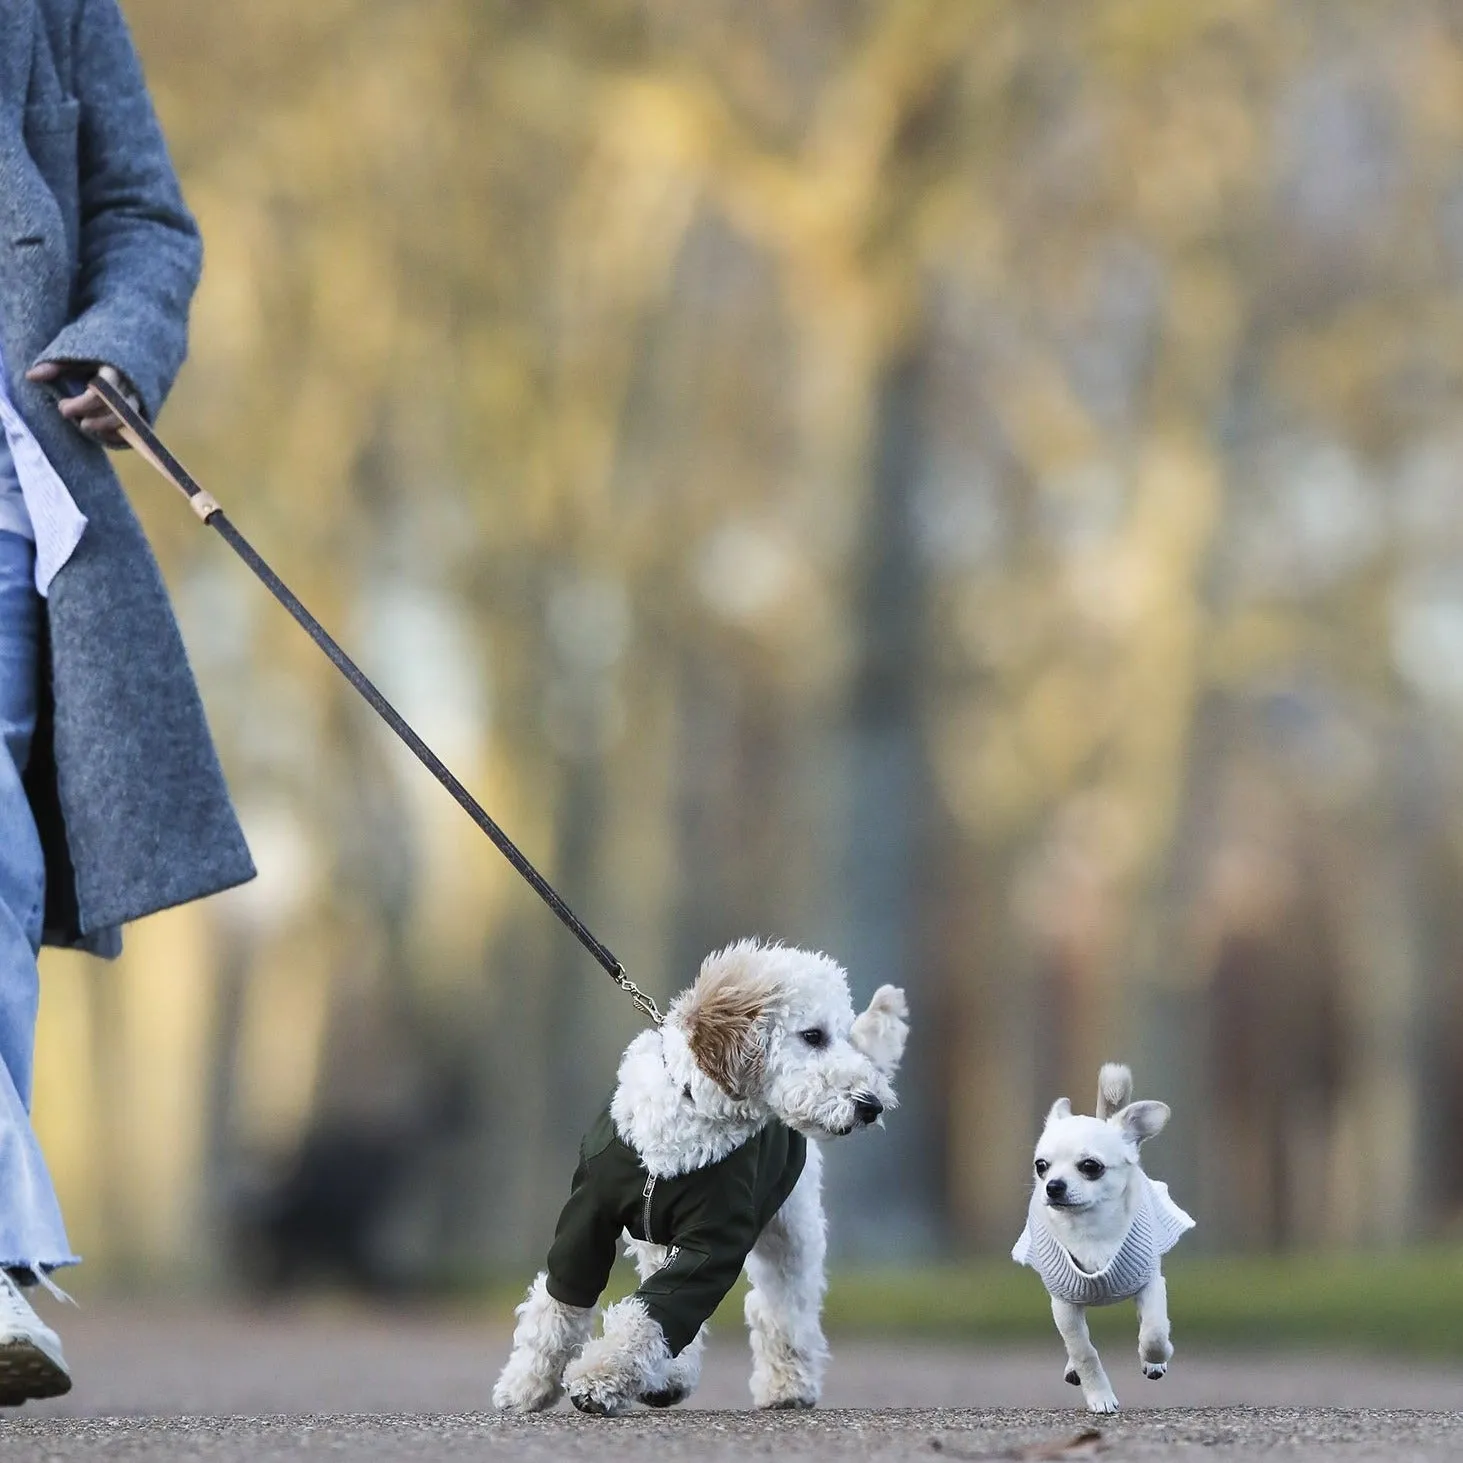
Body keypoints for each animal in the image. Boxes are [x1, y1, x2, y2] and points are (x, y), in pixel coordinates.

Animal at [494, 936, 901, 1416]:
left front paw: (598, 1376)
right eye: (813, 1035)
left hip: (790, 1230)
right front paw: (526, 1384)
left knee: (782, 1308)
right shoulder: (586, 1219)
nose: (871, 1105)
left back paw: (787, 1385)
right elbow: (560, 1301)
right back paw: (670, 1378)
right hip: (657, 1239)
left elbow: (654, 1313)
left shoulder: (712, 1240)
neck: (691, 1110)